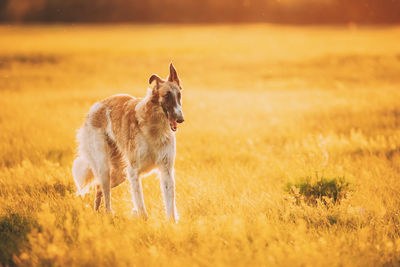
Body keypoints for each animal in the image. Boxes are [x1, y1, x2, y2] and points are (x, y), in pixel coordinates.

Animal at [72, 63, 184, 222]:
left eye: (179, 95)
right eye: (167, 95)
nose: (181, 119)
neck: (153, 126)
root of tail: (96, 105)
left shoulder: (166, 170)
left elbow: (170, 204)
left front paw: (171, 223)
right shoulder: (133, 171)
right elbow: (140, 204)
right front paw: (143, 220)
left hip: (120, 173)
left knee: (98, 188)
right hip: (105, 167)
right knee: (105, 195)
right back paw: (108, 214)